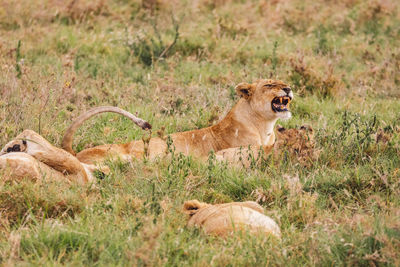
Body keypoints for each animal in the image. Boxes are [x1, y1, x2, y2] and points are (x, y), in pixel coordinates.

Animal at [0, 79, 294, 184]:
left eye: (284, 82)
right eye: (270, 84)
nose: (289, 88)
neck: (264, 125)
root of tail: (78, 151)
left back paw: (15, 147)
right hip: (124, 157)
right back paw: (15, 146)